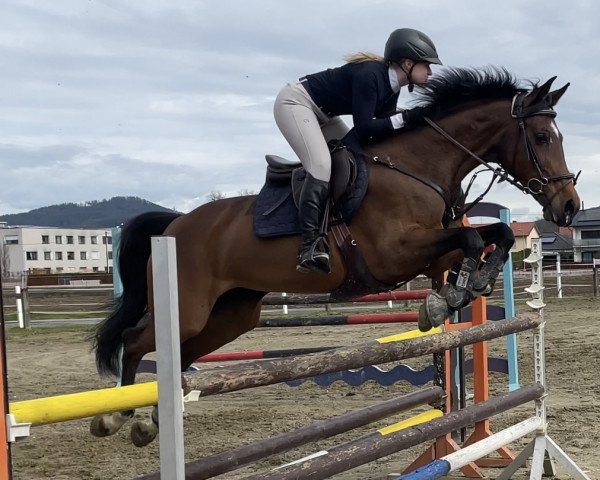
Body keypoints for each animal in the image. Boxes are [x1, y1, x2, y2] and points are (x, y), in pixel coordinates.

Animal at [91, 67, 580, 446]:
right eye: (541, 136)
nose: (569, 207)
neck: (418, 166)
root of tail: (175, 224)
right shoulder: (395, 253)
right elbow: (475, 239)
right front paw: (457, 293)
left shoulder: (431, 250)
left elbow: (493, 235)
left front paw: (457, 293)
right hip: (189, 308)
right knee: (137, 341)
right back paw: (114, 415)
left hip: (232, 314)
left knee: (181, 354)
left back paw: (152, 421)